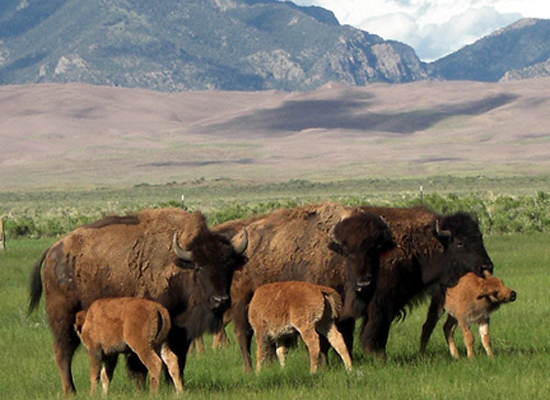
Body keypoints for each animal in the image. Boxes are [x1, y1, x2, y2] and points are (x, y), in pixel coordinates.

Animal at [27, 208, 248, 396]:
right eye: (199, 267)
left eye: (229, 266)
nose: (221, 300)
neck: (179, 264)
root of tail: (54, 249)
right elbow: (138, 363)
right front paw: (141, 388)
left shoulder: (180, 331)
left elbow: (177, 359)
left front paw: (172, 386)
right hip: (63, 318)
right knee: (63, 352)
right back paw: (70, 391)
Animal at [213, 203, 398, 372]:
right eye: (347, 251)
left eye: (375, 249)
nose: (364, 284)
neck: (333, 253)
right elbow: (324, 342)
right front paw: (325, 366)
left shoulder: (343, 314)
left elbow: (344, 337)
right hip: (242, 303)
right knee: (244, 334)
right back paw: (249, 369)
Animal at [360, 206, 498, 356]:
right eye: (459, 243)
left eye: (480, 238)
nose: (487, 267)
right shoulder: (381, 302)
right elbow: (376, 328)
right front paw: (376, 354)